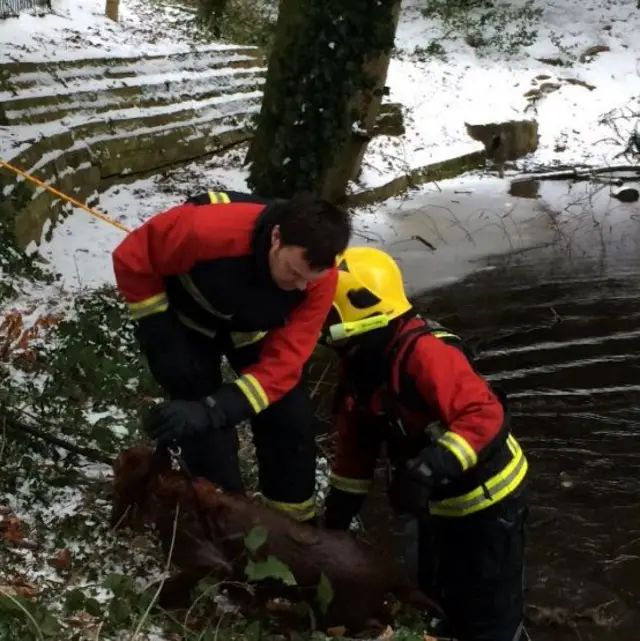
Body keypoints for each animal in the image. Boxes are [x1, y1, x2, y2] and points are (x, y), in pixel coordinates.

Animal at [111, 444, 440, 632]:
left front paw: (153, 601)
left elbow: (181, 580)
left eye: (129, 461)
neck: (172, 490)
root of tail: (390, 571)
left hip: (345, 609)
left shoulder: (202, 556)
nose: (118, 456)